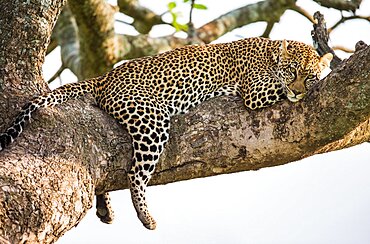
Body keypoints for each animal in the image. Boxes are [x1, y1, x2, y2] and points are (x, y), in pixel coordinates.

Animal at [0, 37, 332, 230]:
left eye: (308, 75)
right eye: (291, 71)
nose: (298, 91)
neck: (271, 51)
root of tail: (106, 77)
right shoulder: (254, 90)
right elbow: (273, 87)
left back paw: (106, 209)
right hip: (152, 119)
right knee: (135, 172)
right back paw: (146, 216)